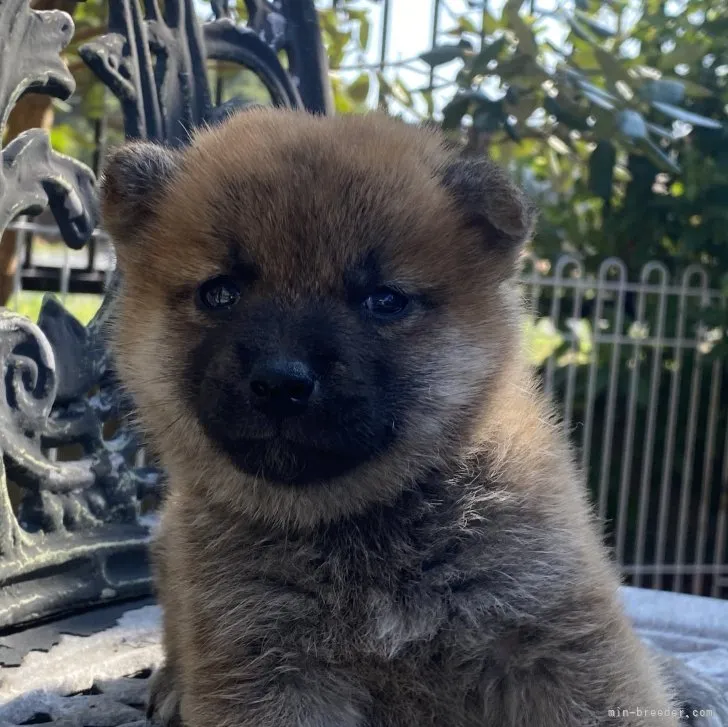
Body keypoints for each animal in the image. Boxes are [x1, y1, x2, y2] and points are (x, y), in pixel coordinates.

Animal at [101, 109, 676, 727]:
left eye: (385, 301)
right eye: (220, 293)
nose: (281, 382)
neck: (362, 524)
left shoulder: (551, 630)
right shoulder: (268, 661)